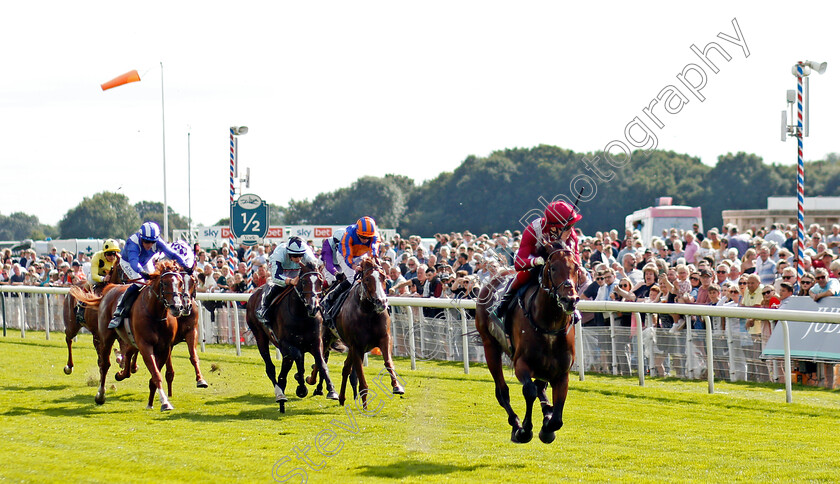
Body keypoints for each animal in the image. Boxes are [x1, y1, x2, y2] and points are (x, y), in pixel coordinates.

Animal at [73, 260, 189, 412]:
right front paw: (165, 402)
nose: (177, 307)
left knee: (127, 353)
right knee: (104, 364)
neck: (156, 314)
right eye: (164, 283)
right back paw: (100, 395)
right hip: (106, 336)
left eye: (181, 283)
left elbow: (154, 375)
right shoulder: (145, 346)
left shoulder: (164, 348)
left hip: (130, 339)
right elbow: (156, 374)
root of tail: (110, 288)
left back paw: (121, 374)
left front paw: (151, 403)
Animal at [243, 260, 338, 412]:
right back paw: (280, 393)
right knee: (270, 367)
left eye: (320, 281)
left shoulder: (317, 342)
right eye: (303, 281)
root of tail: (254, 293)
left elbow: (321, 363)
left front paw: (331, 390)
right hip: (260, 336)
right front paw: (301, 387)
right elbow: (299, 359)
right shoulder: (286, 344)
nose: (313, 307)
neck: (301, 315)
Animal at [334, 258, 402, 408]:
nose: (381, 302)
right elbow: (361, 374)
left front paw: (397, 386)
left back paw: (341, 397)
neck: (368, 312)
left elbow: (388, 362)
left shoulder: (385, 338)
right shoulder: (356, 346)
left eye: (384, 277)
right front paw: (365, 405)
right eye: (366, 279)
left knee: (346, 367)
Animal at [476, 241, 580, 442]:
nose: (570, 300)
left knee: (540, 387)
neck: (549, 325)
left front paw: (547, 427)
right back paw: (515, 423)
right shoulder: (521, 364)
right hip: (490, 346)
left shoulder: (562, 372)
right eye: (553, 268)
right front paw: (524, 430)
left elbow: (557, 418)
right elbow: (529, 390)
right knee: (502, 391)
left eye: (577, 268)